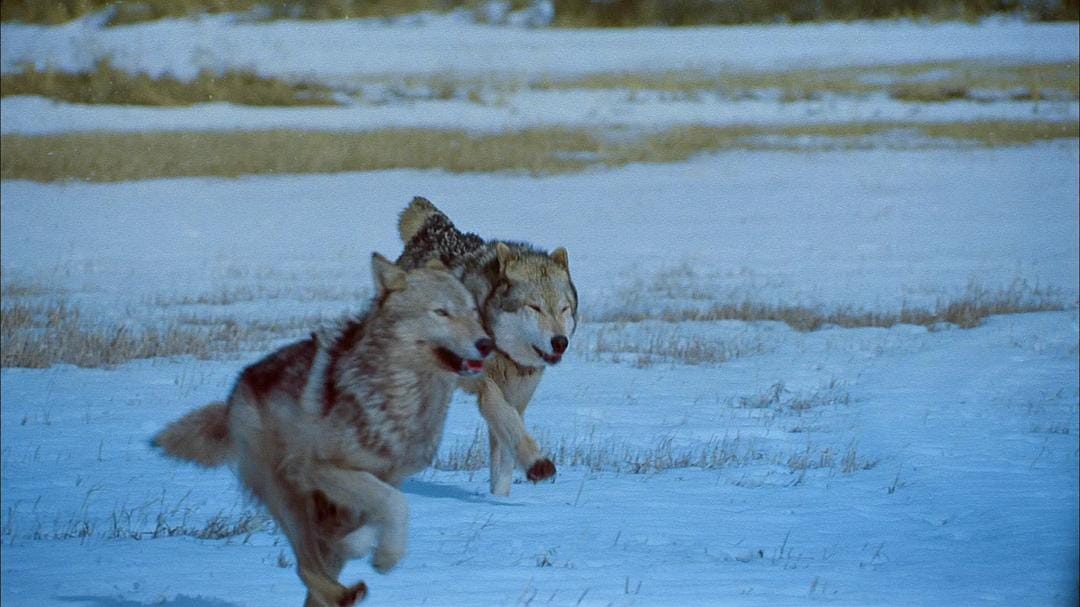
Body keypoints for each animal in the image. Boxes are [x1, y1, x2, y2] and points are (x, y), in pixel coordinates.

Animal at [154, 253, 492, 607]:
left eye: (472, 312)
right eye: (441, 312)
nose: (487, 344)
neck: (403, 398)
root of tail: (236, 391)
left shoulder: (388, 478)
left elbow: (380, 513)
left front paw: (360, 544)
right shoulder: (317, 468)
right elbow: (395, 505)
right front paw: (385, 557)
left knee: (316, 573)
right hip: (288, 496)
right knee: (305, 566)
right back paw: (344, 591)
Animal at [396, 197, 578, 496]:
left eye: (564, 309)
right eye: (534, 307)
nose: (560, 342)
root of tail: (437, 227)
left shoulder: (518, 397)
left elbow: (505, 454)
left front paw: (501, 499)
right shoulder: (487, 389)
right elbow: (511, 425)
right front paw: (538, 465)